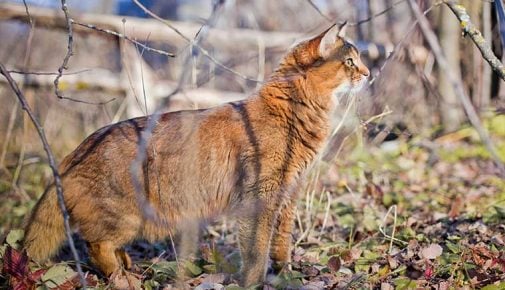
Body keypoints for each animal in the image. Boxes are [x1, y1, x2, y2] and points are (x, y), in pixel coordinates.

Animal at [23, 22, 368, 286]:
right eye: (350, 61)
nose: (366, 73)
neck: (292, 109)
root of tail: (74, 152)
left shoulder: (287, 195)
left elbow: (281, 244)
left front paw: (284, 276)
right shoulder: (260, 196)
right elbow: (256, 248)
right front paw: (253, 282)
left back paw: (127, 266)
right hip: (126, 216)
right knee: (96, 245)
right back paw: (122, 278)